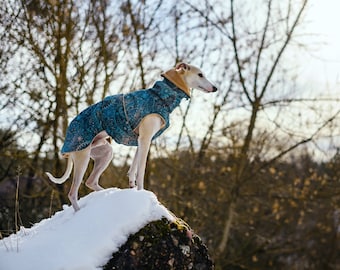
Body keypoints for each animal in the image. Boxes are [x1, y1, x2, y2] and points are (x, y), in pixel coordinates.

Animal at [46, 63, 218, 211]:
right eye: (200, 74)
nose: (215, 88)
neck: (160, 96)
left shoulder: (140, 141)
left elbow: (133, 168)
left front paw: (132, 185)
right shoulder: (145, 139)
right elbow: (141, 171)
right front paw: (143, 193)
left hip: (105, 152)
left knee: (91, 181)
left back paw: (109, 193)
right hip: (82, 156)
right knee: (72, 193)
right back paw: (79, 212)